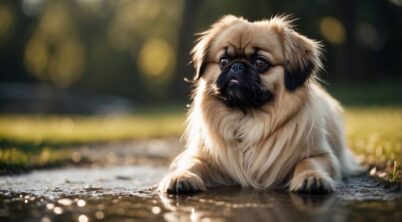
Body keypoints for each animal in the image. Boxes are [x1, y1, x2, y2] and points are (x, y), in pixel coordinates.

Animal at [157, 15, 362, 194]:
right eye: (223, 61)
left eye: (260, 63)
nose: (237, 66)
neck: (247, 117)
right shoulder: (200, 155)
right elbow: (192, 163)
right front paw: (181, 177)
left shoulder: (322, 155)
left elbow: (307, 162)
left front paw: (312, 178)